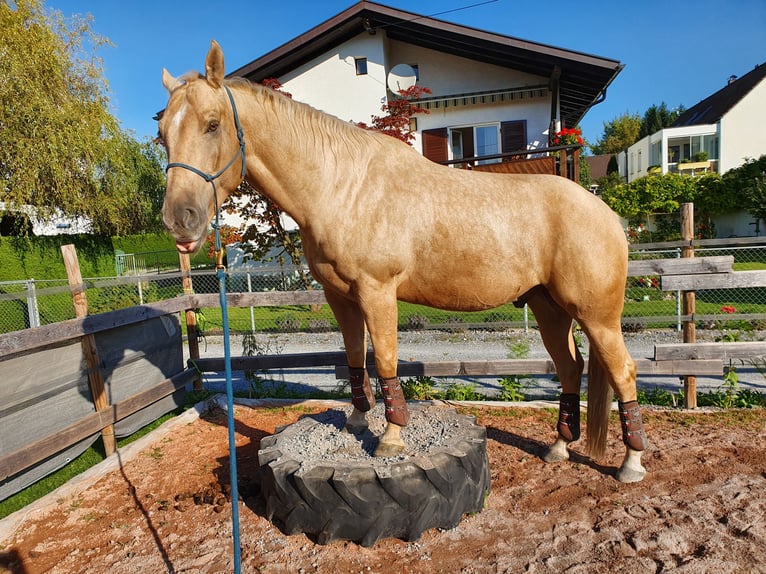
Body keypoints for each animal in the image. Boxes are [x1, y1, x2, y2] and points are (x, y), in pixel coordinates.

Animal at [160, 40, 648, 484]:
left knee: (623, 372)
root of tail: (606, 214)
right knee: (570, 368)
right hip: (550, 309)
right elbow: (355, 359)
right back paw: (560, 447)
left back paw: (631, 464)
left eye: (212, 124)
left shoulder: (378, 292)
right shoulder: (341, 298)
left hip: (596, 316)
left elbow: (386, 362)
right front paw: (358, 421)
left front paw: (390, 438)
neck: (344, 187)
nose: (180, 220)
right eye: (163, 133)